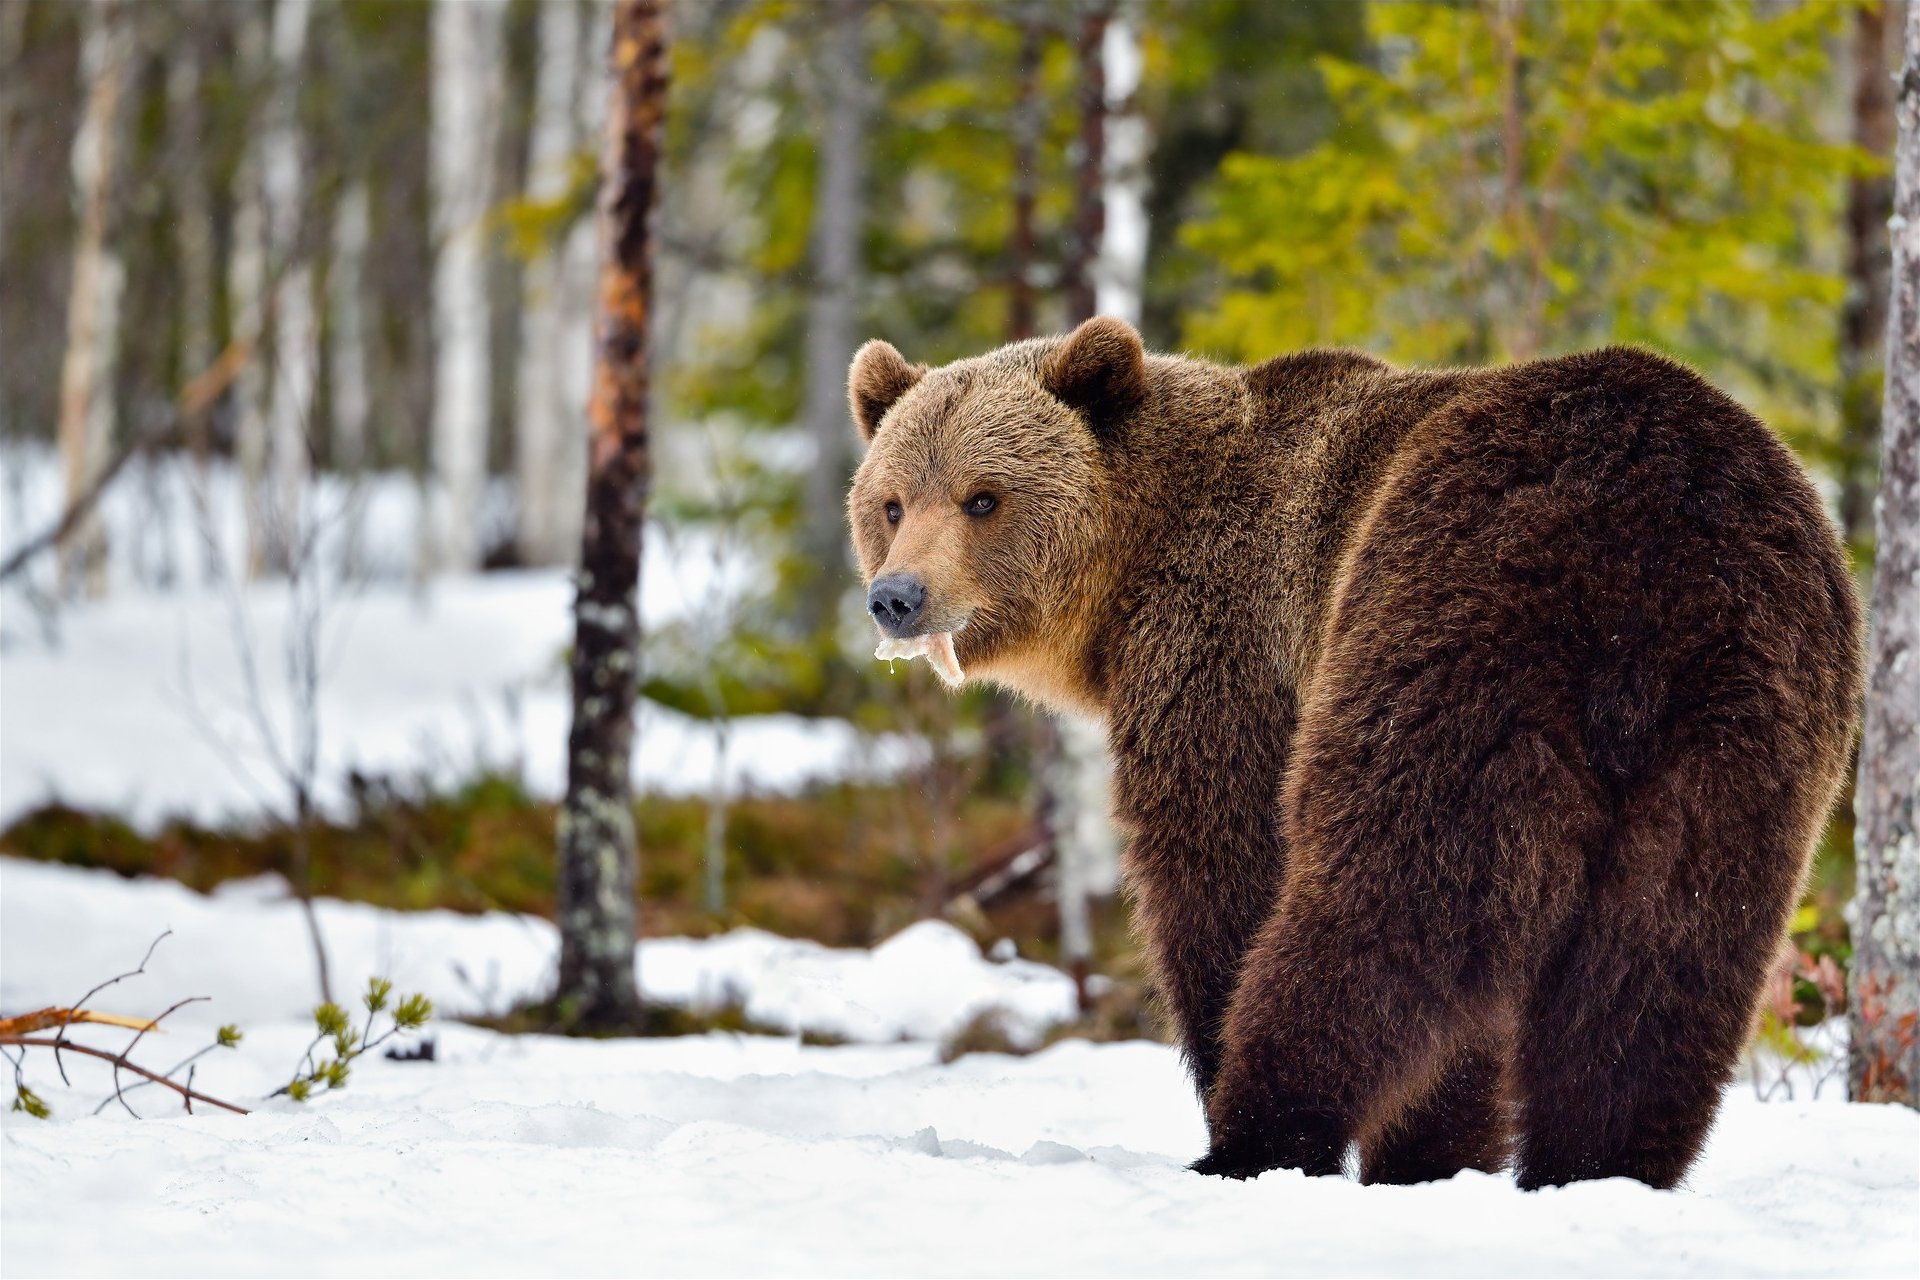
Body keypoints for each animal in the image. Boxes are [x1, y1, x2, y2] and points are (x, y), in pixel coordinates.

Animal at [844, 315, 1863, 1190]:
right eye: (891, 502)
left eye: (983, 497)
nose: (897, 597)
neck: (1126, 582)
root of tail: (1657, 540)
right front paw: (1438, 1155)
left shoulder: (1228, 653)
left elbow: (1221, 874)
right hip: (1750, 715)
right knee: (1669, 954)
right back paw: (1599, 1167)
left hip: (1448, 619)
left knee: (1387, 902)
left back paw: (1254, 1140)